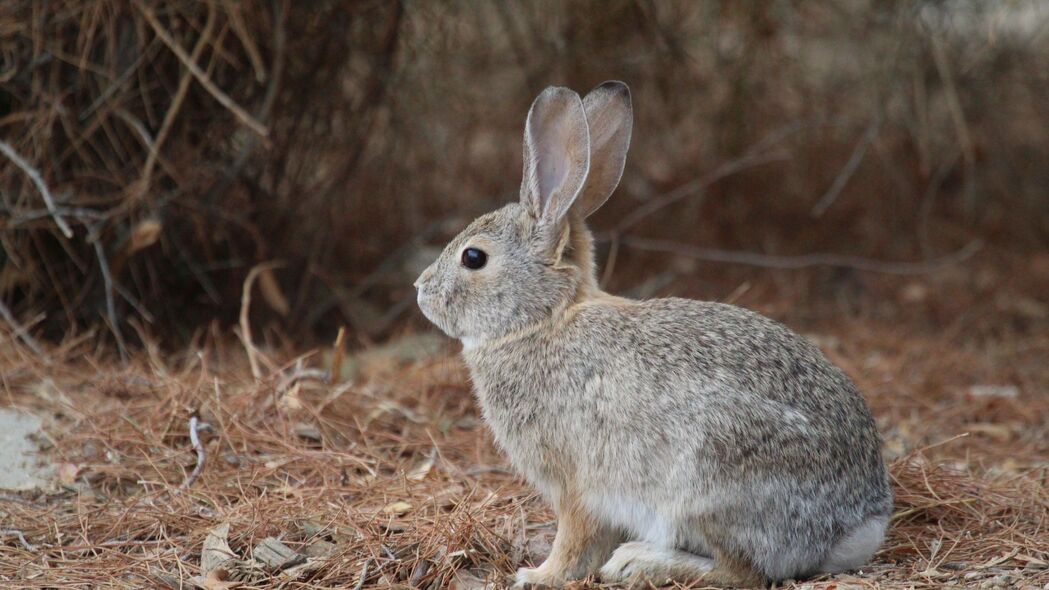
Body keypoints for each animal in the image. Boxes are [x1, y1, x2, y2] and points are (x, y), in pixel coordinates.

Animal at [413, 80, 889, 583]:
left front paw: (538, 576)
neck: (542, 319)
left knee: (740, 572)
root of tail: (856, 525)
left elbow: (574, 539)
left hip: (706, 481)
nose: (421, 289)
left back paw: (639, 561)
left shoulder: (576, 481)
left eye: (473, 257)